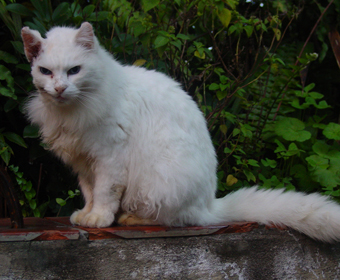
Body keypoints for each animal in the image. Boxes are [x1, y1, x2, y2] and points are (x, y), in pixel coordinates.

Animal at [21, 22, 340, 241]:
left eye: (74, 70)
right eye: (46, 72)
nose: (60, 89)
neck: (71, 112)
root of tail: (211, 204)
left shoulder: (109, 158)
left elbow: (103, 193)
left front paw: (99, 217)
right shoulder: (84, 163)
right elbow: (89, 192)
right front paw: (86, 214)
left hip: (158, 184)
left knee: (174, 220)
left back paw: (129, 219)